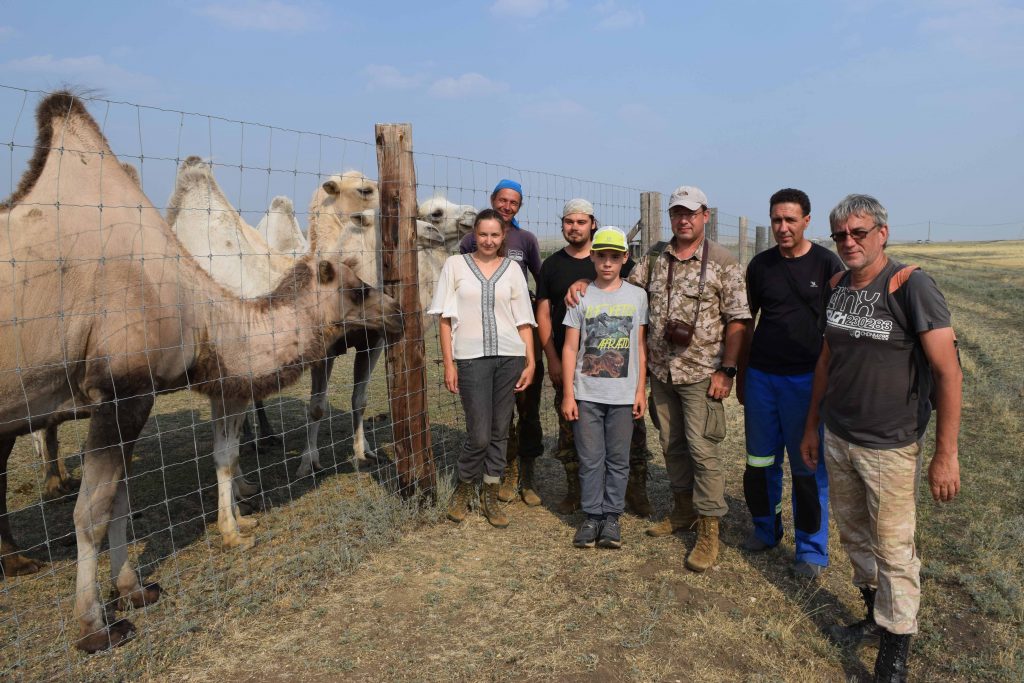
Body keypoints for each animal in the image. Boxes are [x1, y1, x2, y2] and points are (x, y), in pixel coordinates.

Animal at [0, 91, 403, 652]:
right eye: (364, 188)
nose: (399, 312)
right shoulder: (138, 390)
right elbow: (106, 505)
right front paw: (96, 625)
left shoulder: (159, 391)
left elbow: (125, 495)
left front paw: (136, 587)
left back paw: (16, 556)